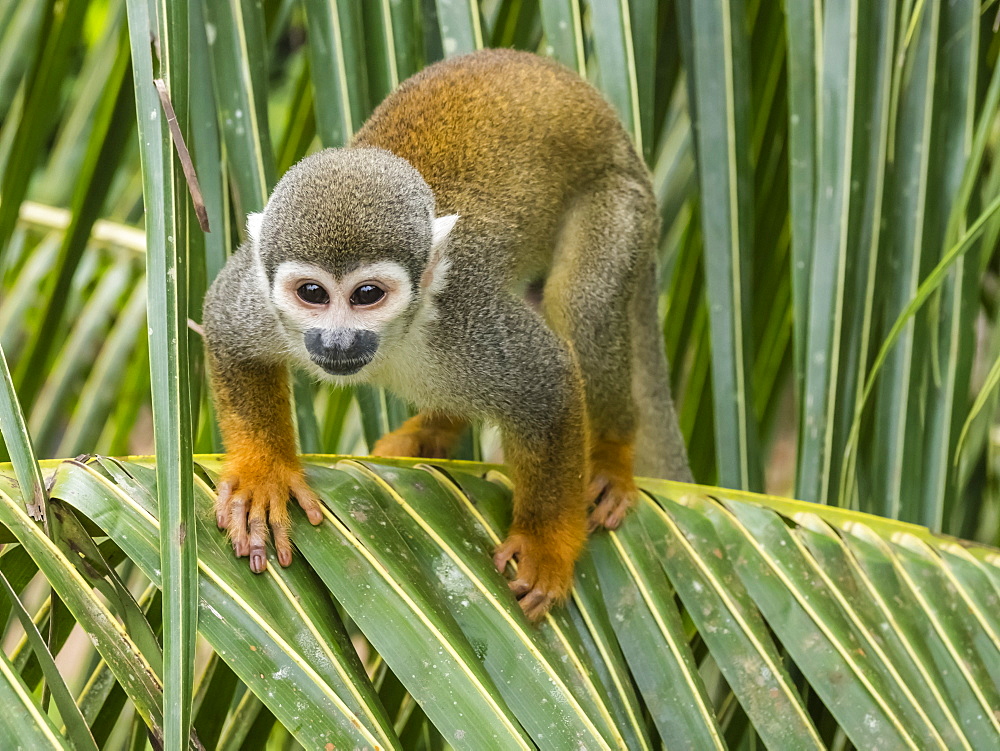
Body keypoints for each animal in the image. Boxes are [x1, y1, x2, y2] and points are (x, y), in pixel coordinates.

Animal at [199, 48, 692, 624]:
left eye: (367, 295)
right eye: (312, 293)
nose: (337, 342)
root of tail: (619, 134)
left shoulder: (468, 319)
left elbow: (550, 384)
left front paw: (545, 548)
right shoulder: (259, 297)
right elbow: (225, 327)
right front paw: (265, 475)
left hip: (616, 204)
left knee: (582, 310)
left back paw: (613, 457)